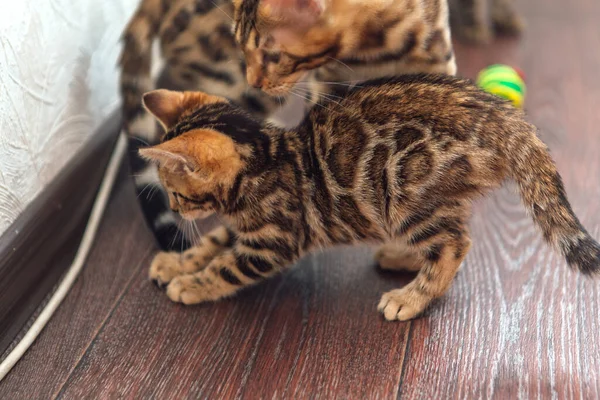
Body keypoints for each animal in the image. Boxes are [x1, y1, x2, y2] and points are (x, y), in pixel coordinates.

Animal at [138, 73, 600, 320]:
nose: (174, 209)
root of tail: (499, 115)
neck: (264, 157)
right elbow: (213, 242)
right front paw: (179, 260)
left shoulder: (273, 240)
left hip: (402, 193)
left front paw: (192, 283)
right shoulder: (244, 228)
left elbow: (226, 267)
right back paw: (401, 258)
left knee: (454, 244)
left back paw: (410, 298)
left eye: (177, 194)